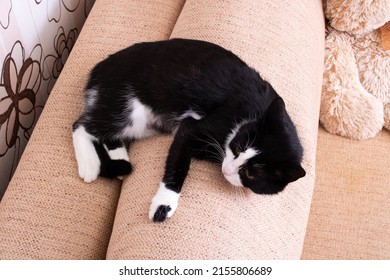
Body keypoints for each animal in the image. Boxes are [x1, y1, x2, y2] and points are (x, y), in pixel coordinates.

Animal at [72, 38, 304, 223]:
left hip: (144, 124)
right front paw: (163, 205)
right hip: (129, 107)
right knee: (82, 126)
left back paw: (120, 160)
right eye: (238, 147)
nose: (227, 170)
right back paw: (90, 164)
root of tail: (100, 68)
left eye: (250, 173)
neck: (254, 114)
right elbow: (178, 165)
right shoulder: (195, 127)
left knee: (108, 134)